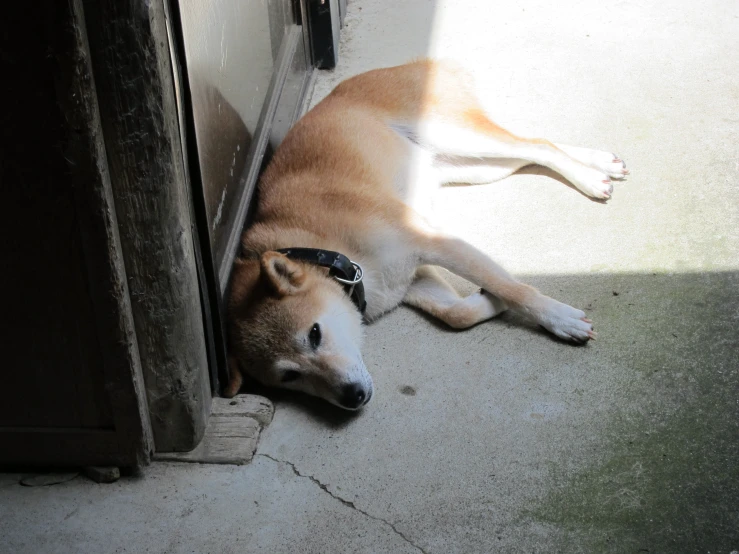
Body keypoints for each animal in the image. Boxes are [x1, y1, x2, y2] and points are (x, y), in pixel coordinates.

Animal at [224, 59, 624, 410]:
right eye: (289, 376)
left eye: (315, 334)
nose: (352, 396)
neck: (328, 253)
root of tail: (411, 63)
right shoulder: (411, 280)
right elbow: (458, 314)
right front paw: (491, 299)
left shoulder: (430, 243)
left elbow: (517, 289)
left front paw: (557, 318)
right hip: (477, 166)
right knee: (533, 151)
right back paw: (600, 163)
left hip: (458, 138)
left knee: (537, 145)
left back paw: (589, 178)